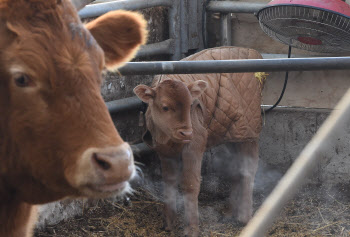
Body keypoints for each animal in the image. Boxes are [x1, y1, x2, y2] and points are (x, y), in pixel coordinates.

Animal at [133, 46, 262, 237]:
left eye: (190, 105)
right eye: (165, 107)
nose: (187, 132)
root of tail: (251, 51)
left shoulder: (195, 144)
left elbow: (190, 183)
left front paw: (192, 228)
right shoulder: (164, 151)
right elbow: (169, 182)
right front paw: (168, 222)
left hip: (249, 130)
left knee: (249, 169)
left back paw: (244, 217)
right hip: (232, 133)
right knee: (236, 167)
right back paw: (230, 211)